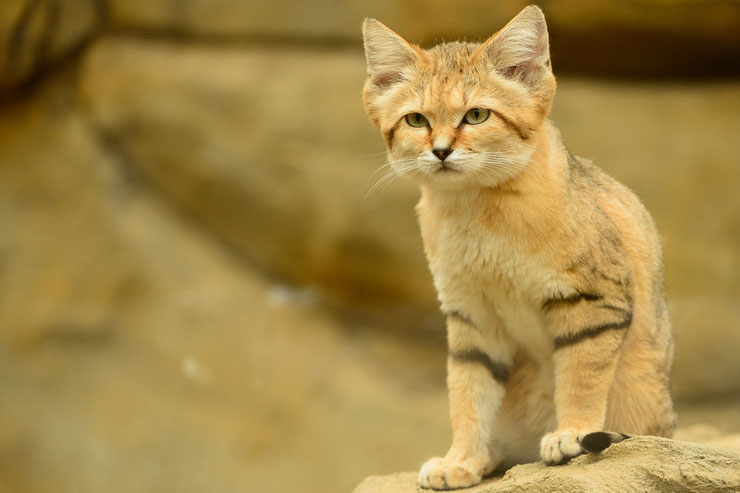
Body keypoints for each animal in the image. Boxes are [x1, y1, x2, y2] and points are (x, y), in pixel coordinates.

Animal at [360, 5, 676, 490]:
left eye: (476, 115)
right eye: (416, 120)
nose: (440, 151)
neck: (477, 211)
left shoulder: (594, 300)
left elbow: (581, 377)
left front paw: (573, 433)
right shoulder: (471, 316)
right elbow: (468, 392)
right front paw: (461, 458)